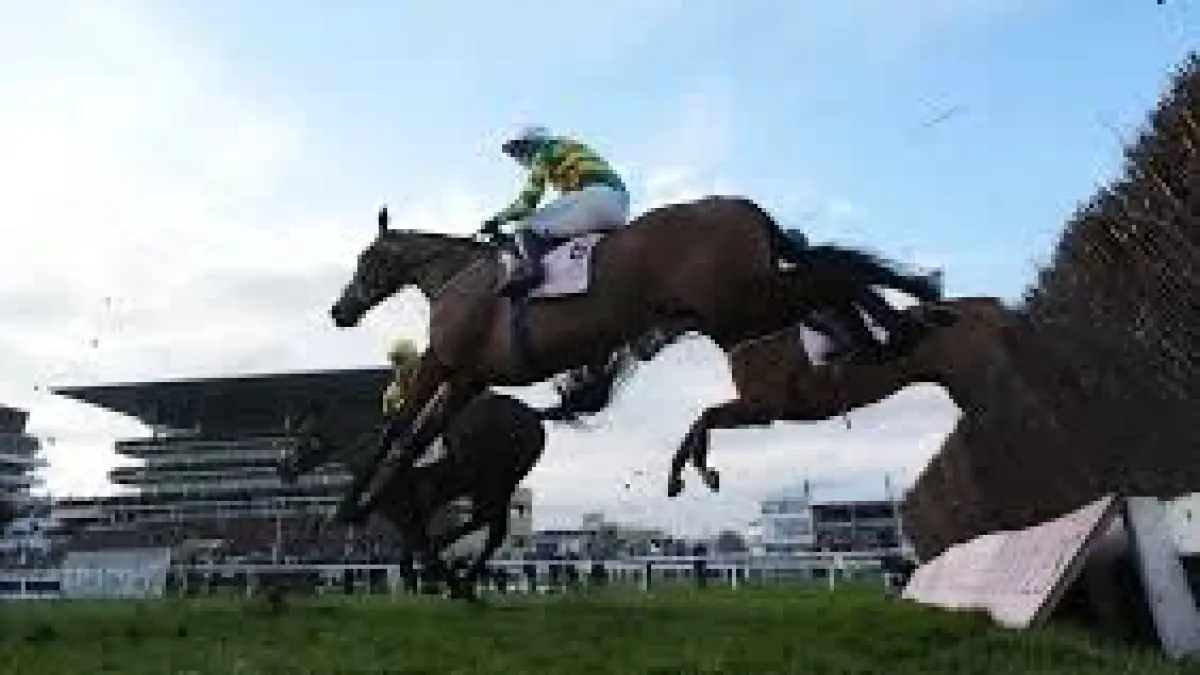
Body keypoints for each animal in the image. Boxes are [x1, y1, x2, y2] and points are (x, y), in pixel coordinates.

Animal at [278, 390, 545, 600]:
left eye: (302, 436)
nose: (283, 467)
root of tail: (533, 413)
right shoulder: (412, 513)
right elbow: (408, 559)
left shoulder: (406, 511)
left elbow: (418, 550)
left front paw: (441, 580)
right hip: (502, 483)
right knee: (493, 529)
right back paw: (466, 578)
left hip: (491, 479)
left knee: (485, 520)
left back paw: (454, 568)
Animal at [329, 197, 945, 520]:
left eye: (364, 259)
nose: (340, 310)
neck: (459, 277)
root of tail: (743, 207)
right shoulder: (470, 377)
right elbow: (415, 438)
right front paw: (370, 503)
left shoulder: (444, 360)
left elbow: (399, 428)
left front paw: (351, 505)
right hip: (744, 307)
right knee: (832, 269)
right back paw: (896, 329)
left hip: (743, 305)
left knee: (834, 272)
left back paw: (901, 322)